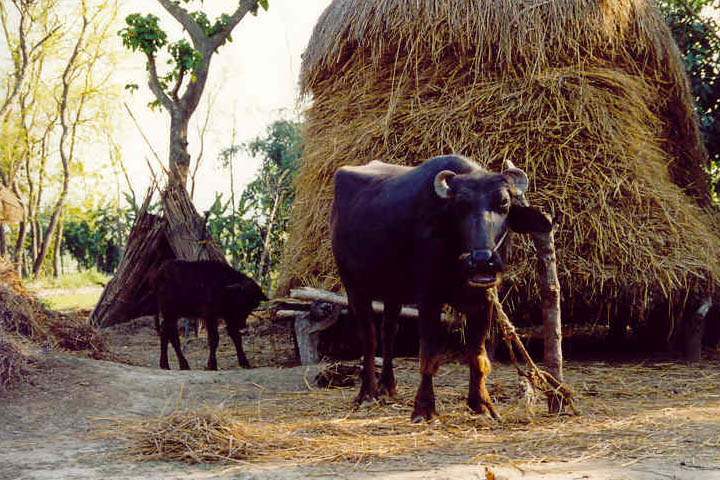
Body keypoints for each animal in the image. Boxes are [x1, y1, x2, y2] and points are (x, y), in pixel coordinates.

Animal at [332, 154, 552, 420]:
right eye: (460, 206)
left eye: (504, 203)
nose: (482, 260)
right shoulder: (428, 299)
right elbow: (428, 355)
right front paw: (424, 407)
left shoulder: (484, 300)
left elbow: (477, 355)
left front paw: (481, 404)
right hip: (354, 287)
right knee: (370, 337)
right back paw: (367, 393)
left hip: (393, 293)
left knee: (388, 332)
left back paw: (389, 386)